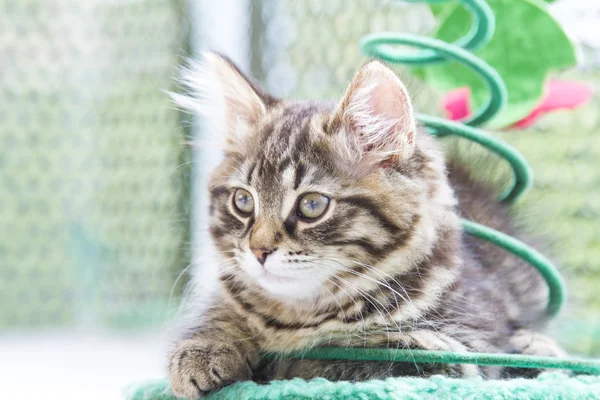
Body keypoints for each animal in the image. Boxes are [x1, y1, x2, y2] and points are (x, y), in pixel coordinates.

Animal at [166, 52, 564, 396]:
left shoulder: (456, 350)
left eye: (312, 205)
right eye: (243, 201)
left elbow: (332, 357)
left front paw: (278, 363)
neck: (300, 313)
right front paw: (200, 351)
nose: (259, 250)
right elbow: (222, 314)